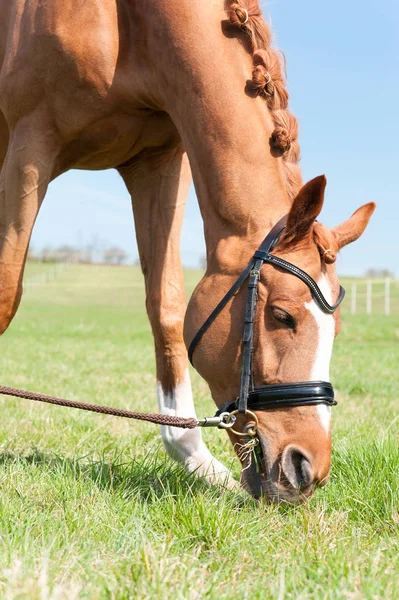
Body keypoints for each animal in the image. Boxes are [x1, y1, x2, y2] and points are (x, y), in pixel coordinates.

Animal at [0, 2, 376, 504]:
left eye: (336, 329)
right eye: (281, 316)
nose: (308, 469)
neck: (127, 26)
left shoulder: (156, 163)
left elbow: (167, 309)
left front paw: (197, 460)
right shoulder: (30, 145)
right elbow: (7, 293)